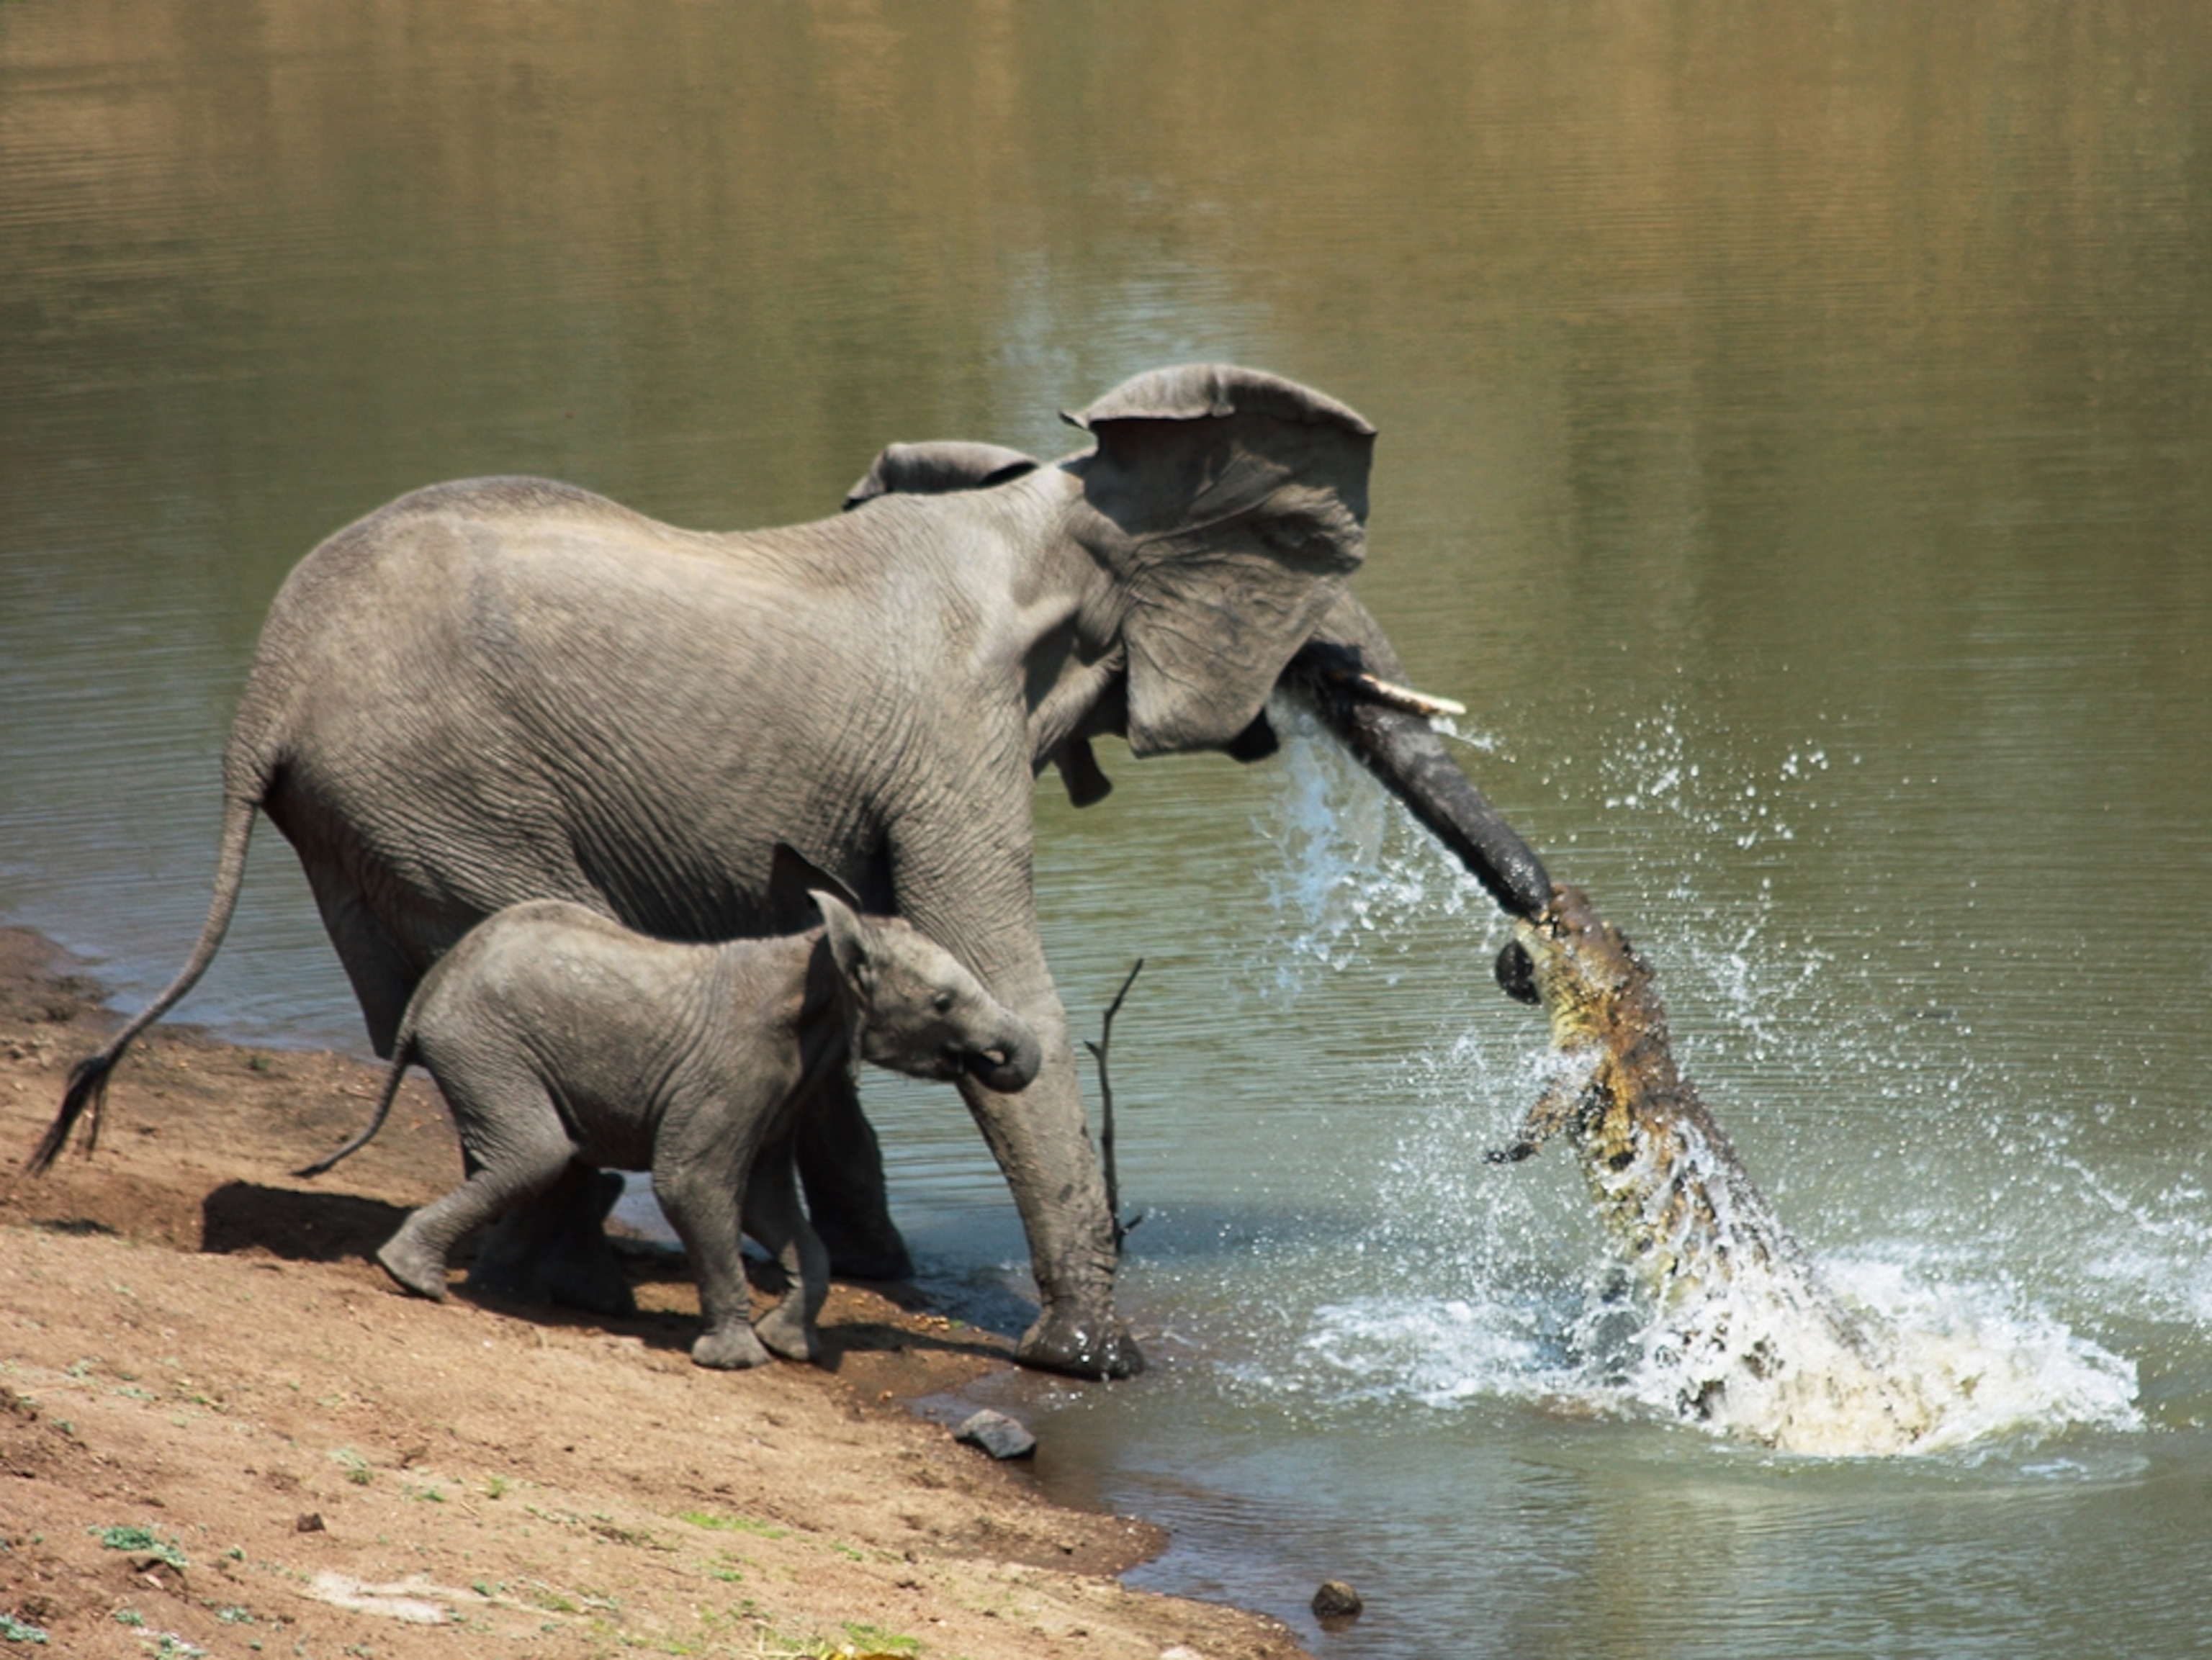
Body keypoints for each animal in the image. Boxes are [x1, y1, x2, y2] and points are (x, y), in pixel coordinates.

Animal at [296, 888, 1043, 1370]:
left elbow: (767, 1202)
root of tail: (431, 987)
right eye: (942, 1003)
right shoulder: (733, 1070)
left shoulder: (784, 1085)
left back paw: (493, 1291)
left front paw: (789, 1346)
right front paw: (737, 1360)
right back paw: (414, 1278)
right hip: (485, 1047)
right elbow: (695, 1182)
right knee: (538, 1155)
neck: (819, 956)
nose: (995, 1057)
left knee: (548, 1162)